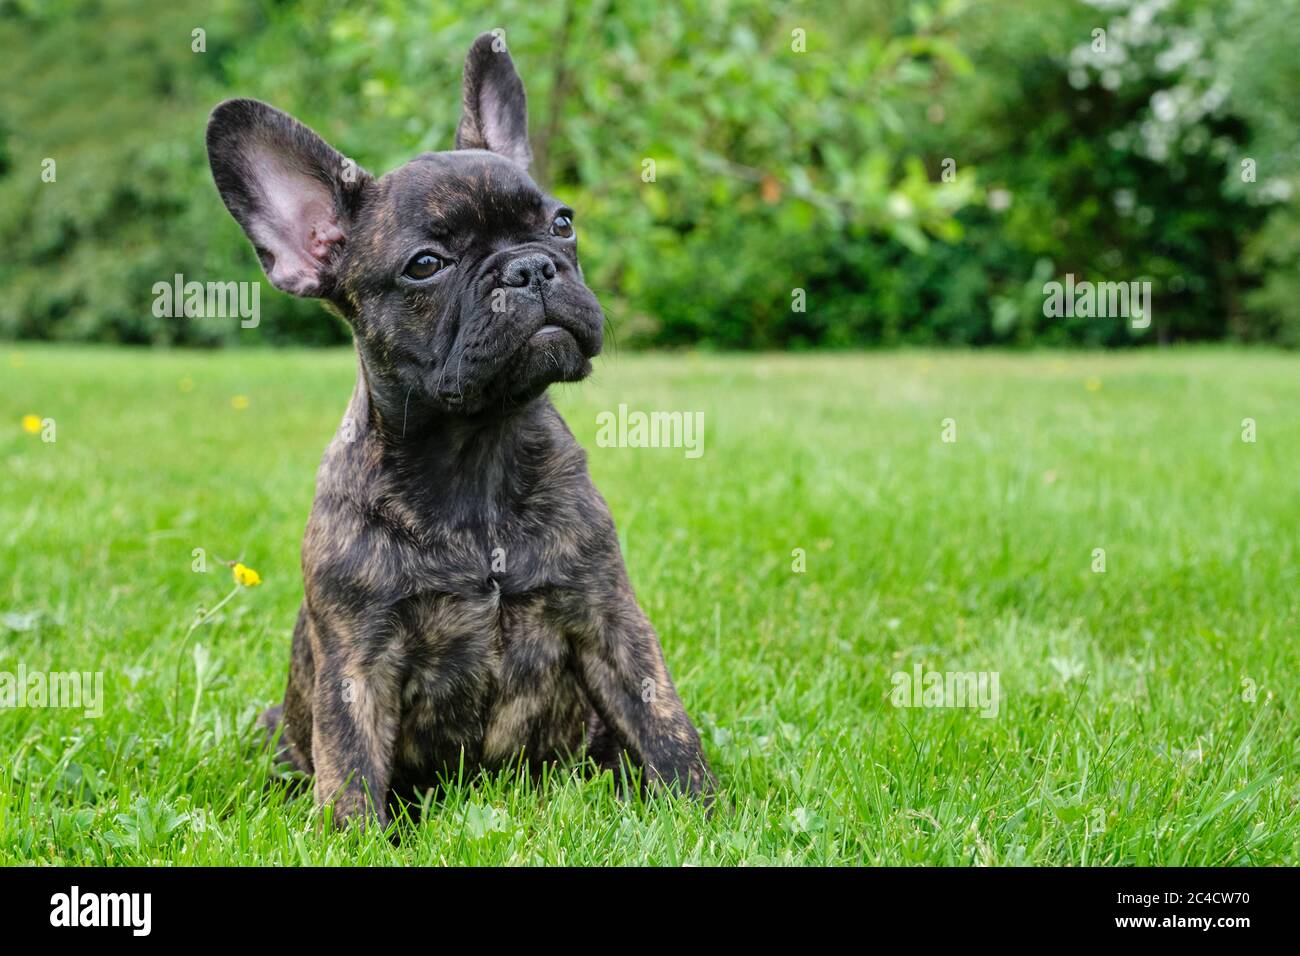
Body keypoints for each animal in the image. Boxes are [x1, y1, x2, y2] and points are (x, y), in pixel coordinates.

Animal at [205, 33, 712, 827]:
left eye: (561, 223)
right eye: (427, 265)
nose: (530, 268)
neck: (478, 449)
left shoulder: (610, 619)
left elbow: (664, 721)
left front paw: (708, 814)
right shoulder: (357, 661)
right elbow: (350, 768)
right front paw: (353, 839)